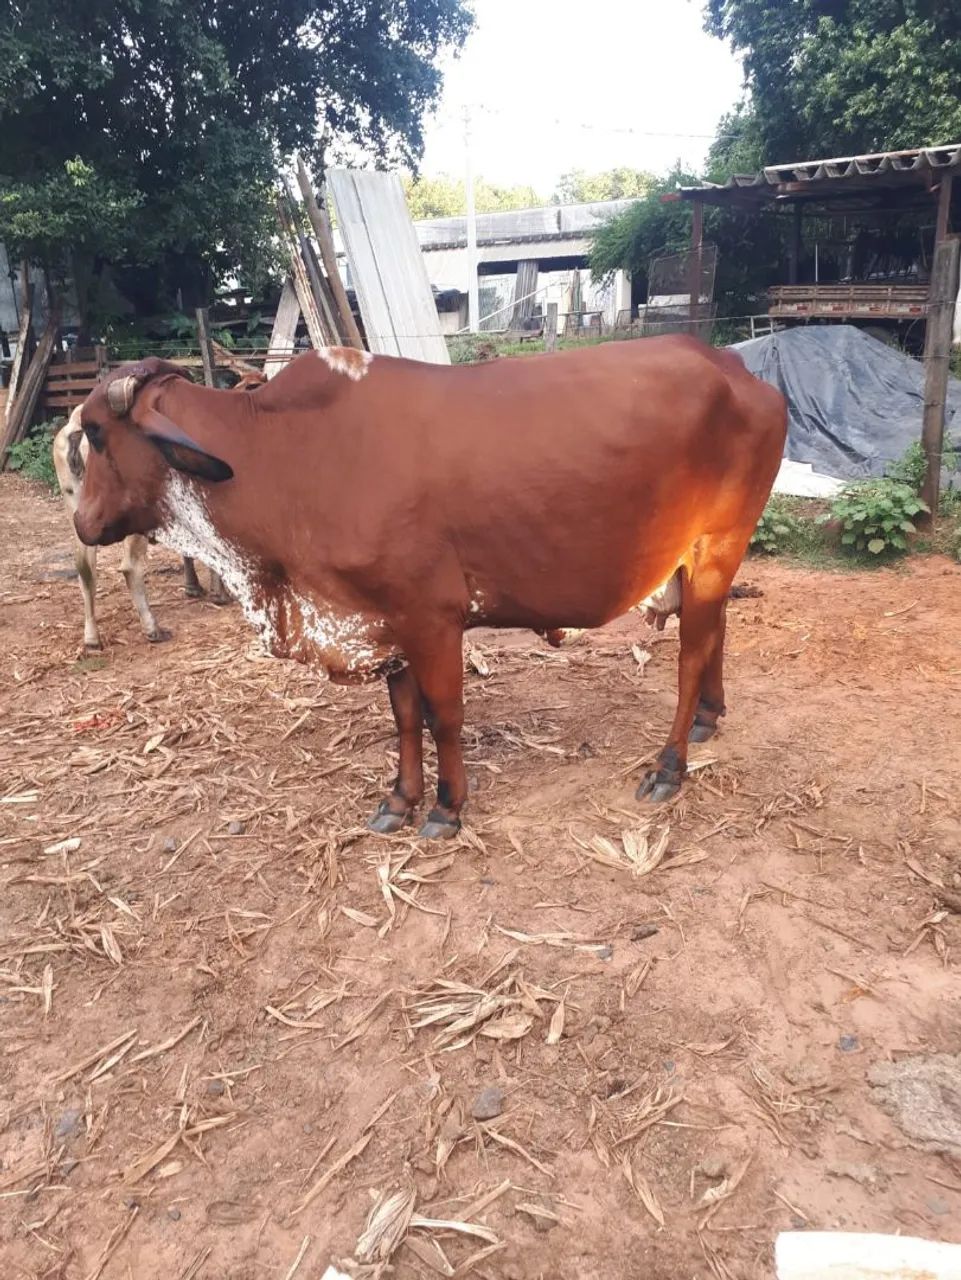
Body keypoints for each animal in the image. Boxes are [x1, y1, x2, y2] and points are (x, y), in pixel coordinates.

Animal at [53, 370, 268, 649]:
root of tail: (76, 428)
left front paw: (195, 587)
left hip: (80, 511)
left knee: (84, 566)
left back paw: (91, 638)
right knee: (129, 568)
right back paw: (152, 628)